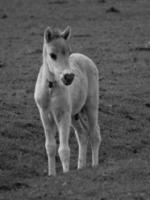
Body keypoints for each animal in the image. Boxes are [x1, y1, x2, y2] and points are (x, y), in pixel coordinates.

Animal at [34, 26, 101, 175]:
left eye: (68, 52)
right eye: (52, 55)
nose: (69, 77)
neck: (51, 88)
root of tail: (85, 57)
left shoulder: (63, 115)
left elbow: (63, 149)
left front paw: (65, 173)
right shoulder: (45, 116)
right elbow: (50, 147)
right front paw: (52, 174)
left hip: (91, 106)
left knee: (94, 134)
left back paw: (95, 165)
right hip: (74, 115)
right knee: (82, 134)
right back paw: (81, 167)